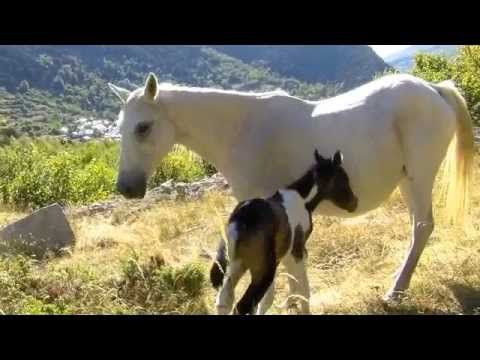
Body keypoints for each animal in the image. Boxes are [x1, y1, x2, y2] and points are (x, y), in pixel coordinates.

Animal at [209, 149, 356, 316]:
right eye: (344, 178)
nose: (354, 203)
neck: (303, 200)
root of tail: (242, 219)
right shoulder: (297, 251)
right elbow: (303, 290)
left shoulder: (283, 256)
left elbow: (269, 299)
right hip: (262, 271)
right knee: (242, 305)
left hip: (234, 265)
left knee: (224, 302)